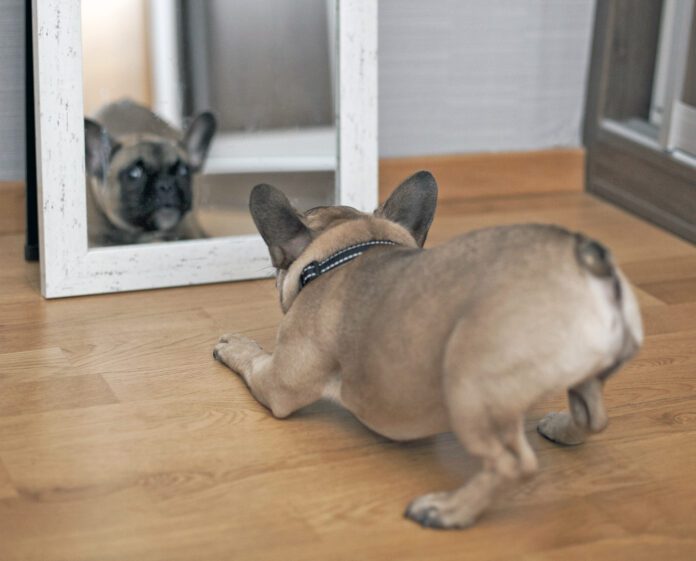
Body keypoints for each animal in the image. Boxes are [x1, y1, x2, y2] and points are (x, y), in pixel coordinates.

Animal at [212, 171, 640, 528]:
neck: (349, 250)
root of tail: (589, 268)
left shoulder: (277, 382)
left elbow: (251, 358)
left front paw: (234, 344)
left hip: (469, 384)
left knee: (512, 464)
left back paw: (448, 509)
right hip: (585, 375)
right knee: (593, 417)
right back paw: (560, 429)